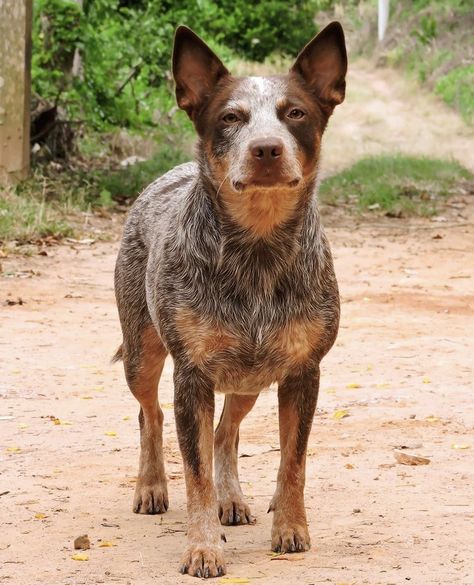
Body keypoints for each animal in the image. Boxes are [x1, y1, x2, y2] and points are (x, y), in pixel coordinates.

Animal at [113, 20, 346, 576]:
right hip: (143, 354)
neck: (257, 251)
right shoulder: (192, 374)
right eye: (230, 117)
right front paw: (202, 547)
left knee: (225, 432)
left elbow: (292, 461)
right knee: (150, 414)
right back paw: (151, 486)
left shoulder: (304, 371)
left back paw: (233, 498)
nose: (266, 148)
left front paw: (290, 527)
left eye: (295, 113)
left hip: (251, 379)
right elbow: (194, 473)